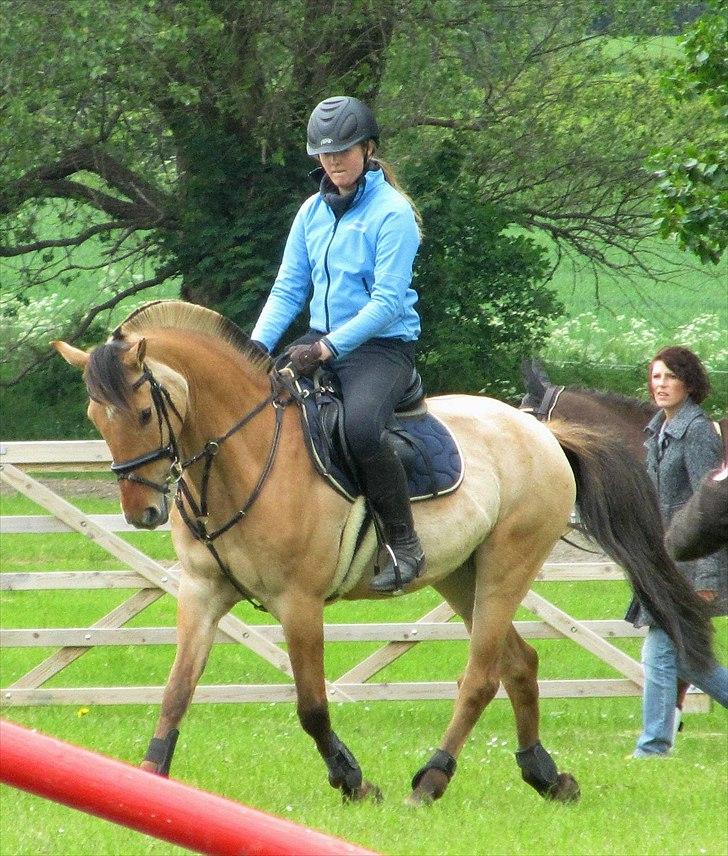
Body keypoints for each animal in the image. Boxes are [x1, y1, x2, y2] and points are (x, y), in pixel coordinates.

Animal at [52, 302, 712, 808]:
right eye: (93, 417)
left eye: (143, 413)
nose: (143, 513)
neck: (241, 455)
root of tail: (543, 433)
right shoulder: (201, 592)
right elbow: (176, 692)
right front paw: (150, 778)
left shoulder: (299, 603)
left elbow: (312, 707)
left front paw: (353, 781)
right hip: (461, 576)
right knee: (519, 664)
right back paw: (543, 775)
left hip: (507, 567)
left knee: (481, 676)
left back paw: (433, 779)